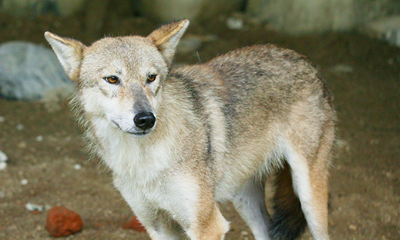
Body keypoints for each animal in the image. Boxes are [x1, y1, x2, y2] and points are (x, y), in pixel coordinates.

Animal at [45, 19, 336, 240]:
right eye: (112, 79)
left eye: (151, 78)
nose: (145, 119)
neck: (145, 160)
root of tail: (302, 58)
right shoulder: (158, 226)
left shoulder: (207, 226)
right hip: (245, 199)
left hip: (308, 197)